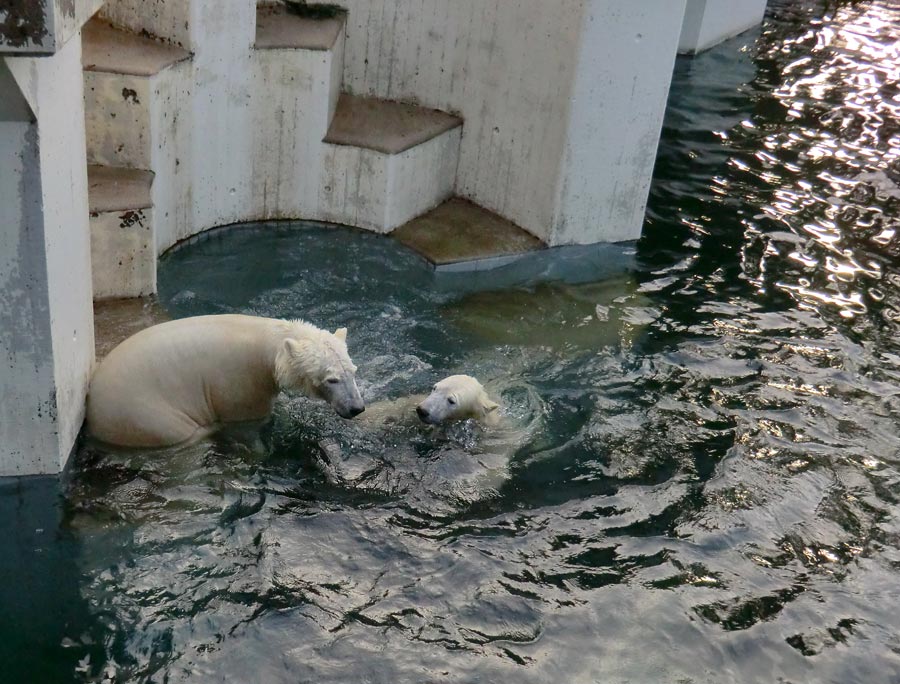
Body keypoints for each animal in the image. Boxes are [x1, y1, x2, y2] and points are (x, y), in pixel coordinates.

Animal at [86, 316, 362, 448]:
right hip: (146, 417)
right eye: (332, 379)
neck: (268, 346)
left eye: (353, 371)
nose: (356, 408)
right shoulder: (242, 383)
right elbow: (246, 424)